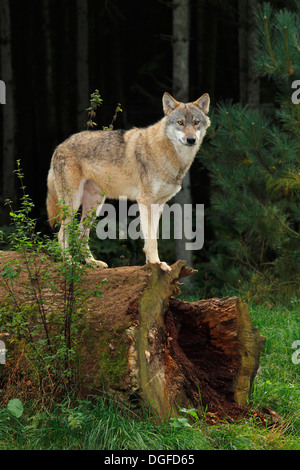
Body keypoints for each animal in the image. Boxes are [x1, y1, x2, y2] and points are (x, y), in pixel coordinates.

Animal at [47, 92, 211, 272]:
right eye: (180, 123)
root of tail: (60, 146)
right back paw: (69, 263)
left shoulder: (159, 204)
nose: (191, 139)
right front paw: (156, 263)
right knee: (62, 233)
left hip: (94, 206)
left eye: (196, 122)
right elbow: (151, 239)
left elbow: (152, 237)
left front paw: (151, 264)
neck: (170, 155)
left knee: (81, 233)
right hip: (73, 203)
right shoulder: (145, 201)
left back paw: (92, 263)